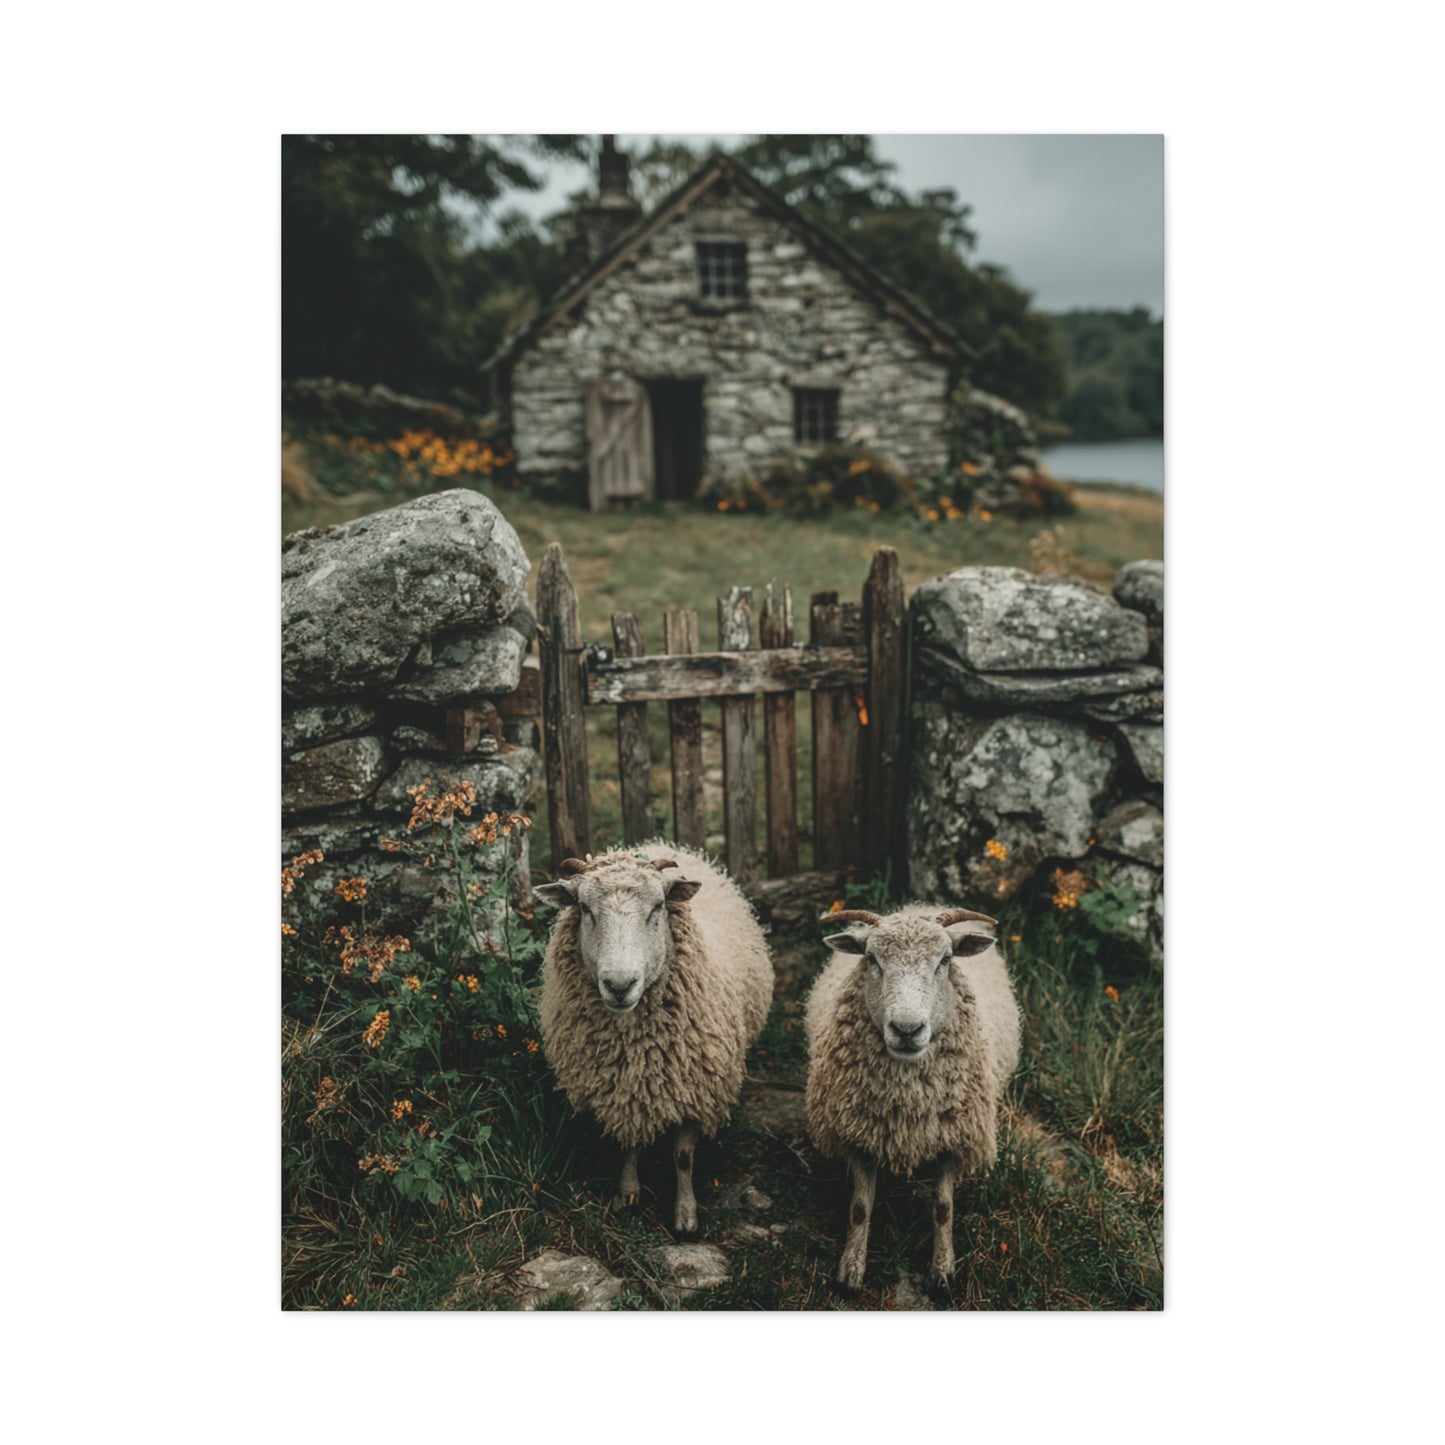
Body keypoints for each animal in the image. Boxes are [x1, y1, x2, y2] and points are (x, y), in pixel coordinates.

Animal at [535, 842, 773, 1238]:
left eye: (658, 906)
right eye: (583, 908)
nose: (619, 986)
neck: (637, 1050)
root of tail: (658, 844)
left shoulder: (697, 1088)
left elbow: (683, 1156)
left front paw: (686, 1215)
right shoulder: (624, 1092)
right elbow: (629, 1145)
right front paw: (628, 1195)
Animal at [804, 905, 1020, 1298]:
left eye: (945, 960)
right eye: (872, 958)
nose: (907, 1030)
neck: (909, 1101)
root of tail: (919, 906)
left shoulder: (953, 1139)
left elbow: (943, 1207)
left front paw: (943, 1272)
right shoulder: (860, 1135)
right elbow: (860, 1207)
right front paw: (851, 1270)